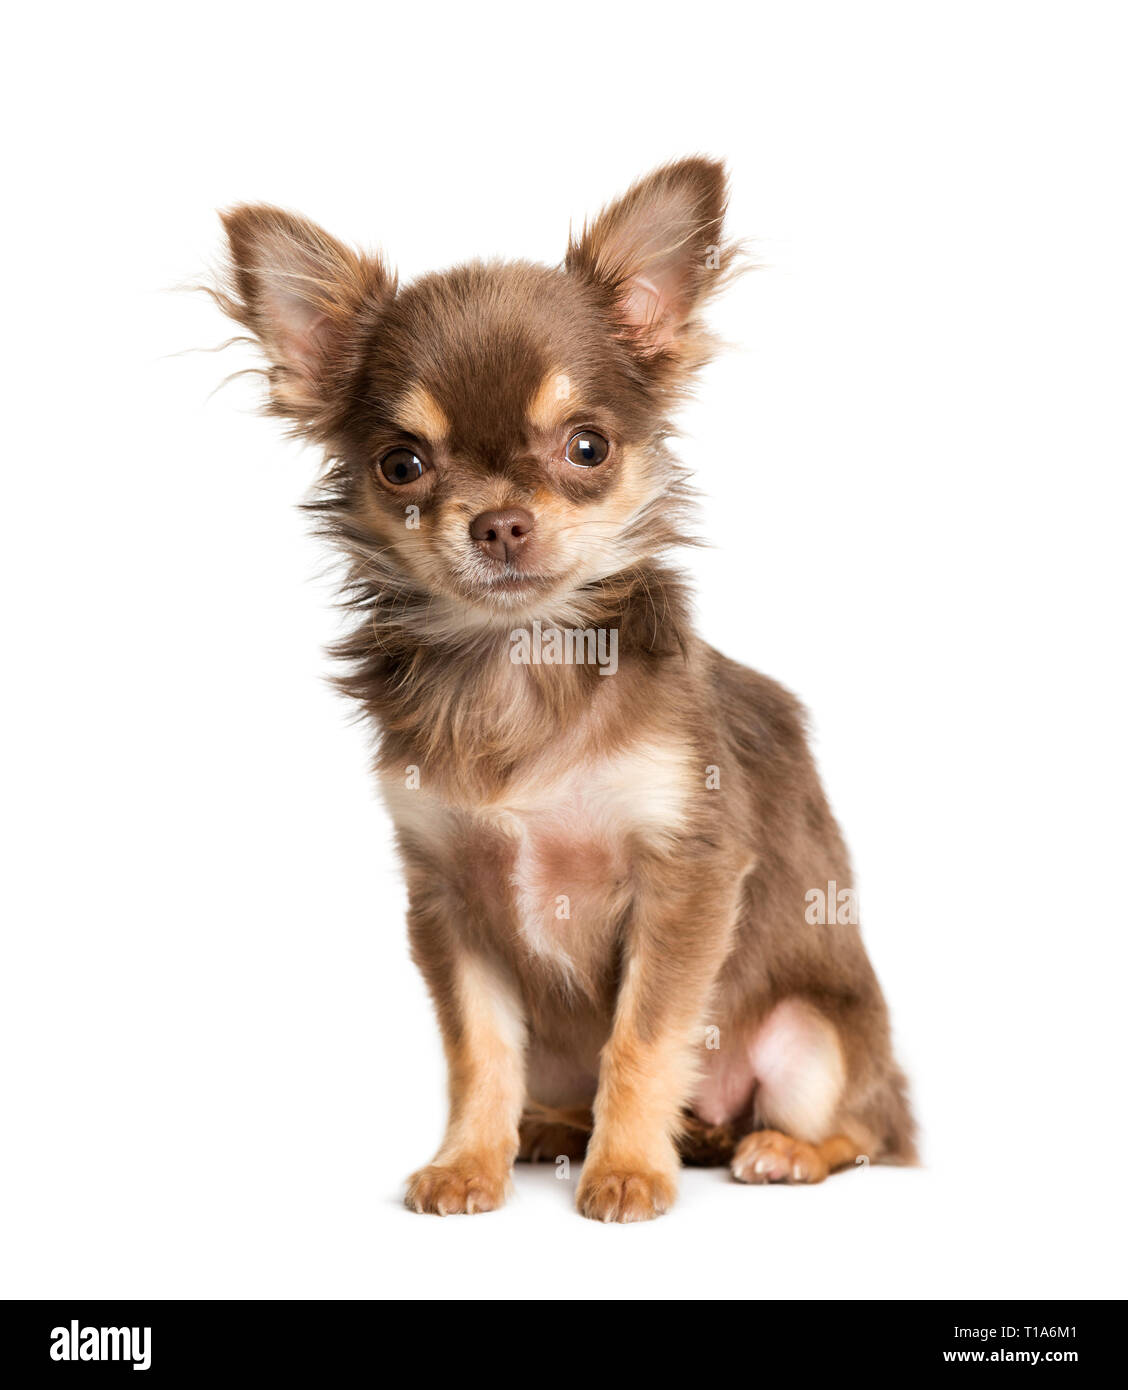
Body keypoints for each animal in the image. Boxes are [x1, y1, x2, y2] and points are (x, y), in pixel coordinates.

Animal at [213, 159, 916, 1217]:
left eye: (588, 447)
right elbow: (477, 1054)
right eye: (402, 464)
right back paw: (551, 1131)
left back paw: (775, 1152)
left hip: (813, 1037)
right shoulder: (449, 899)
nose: (499, 522)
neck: (519, 659)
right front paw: (468, 1162)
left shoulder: (684, 877)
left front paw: (626, 1171)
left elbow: (644, 1039)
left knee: (866, 1132)